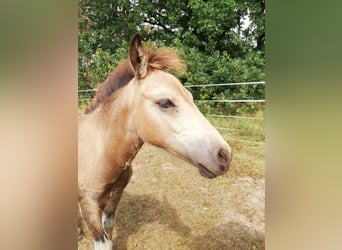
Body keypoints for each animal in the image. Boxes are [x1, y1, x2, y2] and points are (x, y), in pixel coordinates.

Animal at [78, 33, 232, 250]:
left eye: (190, 97)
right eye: (165, 102)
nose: (225, 155)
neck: (101, 152)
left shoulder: (114, 198)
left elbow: (110, 230)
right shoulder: (88, 206)